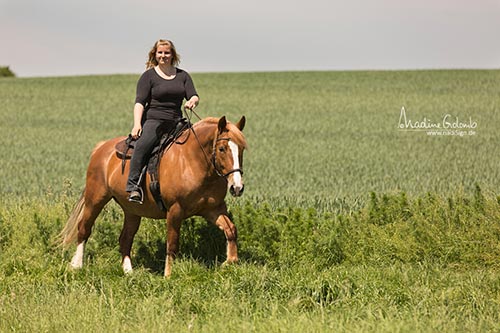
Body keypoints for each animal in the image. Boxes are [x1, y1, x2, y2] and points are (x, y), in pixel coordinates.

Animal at [60, 115, 246, 276]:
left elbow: (231, 230)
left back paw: (128, 272)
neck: (193, 163)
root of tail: (102, 147)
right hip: (95, 199)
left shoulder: (213, 209)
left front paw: (230, 261)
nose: (237, 188)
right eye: (222, 149)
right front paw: (168, 275)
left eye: (242, 149)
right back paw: (77, 265)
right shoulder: (175, 210)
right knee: (84, 228)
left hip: (132, 210)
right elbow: (172, 244)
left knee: (125, 238)